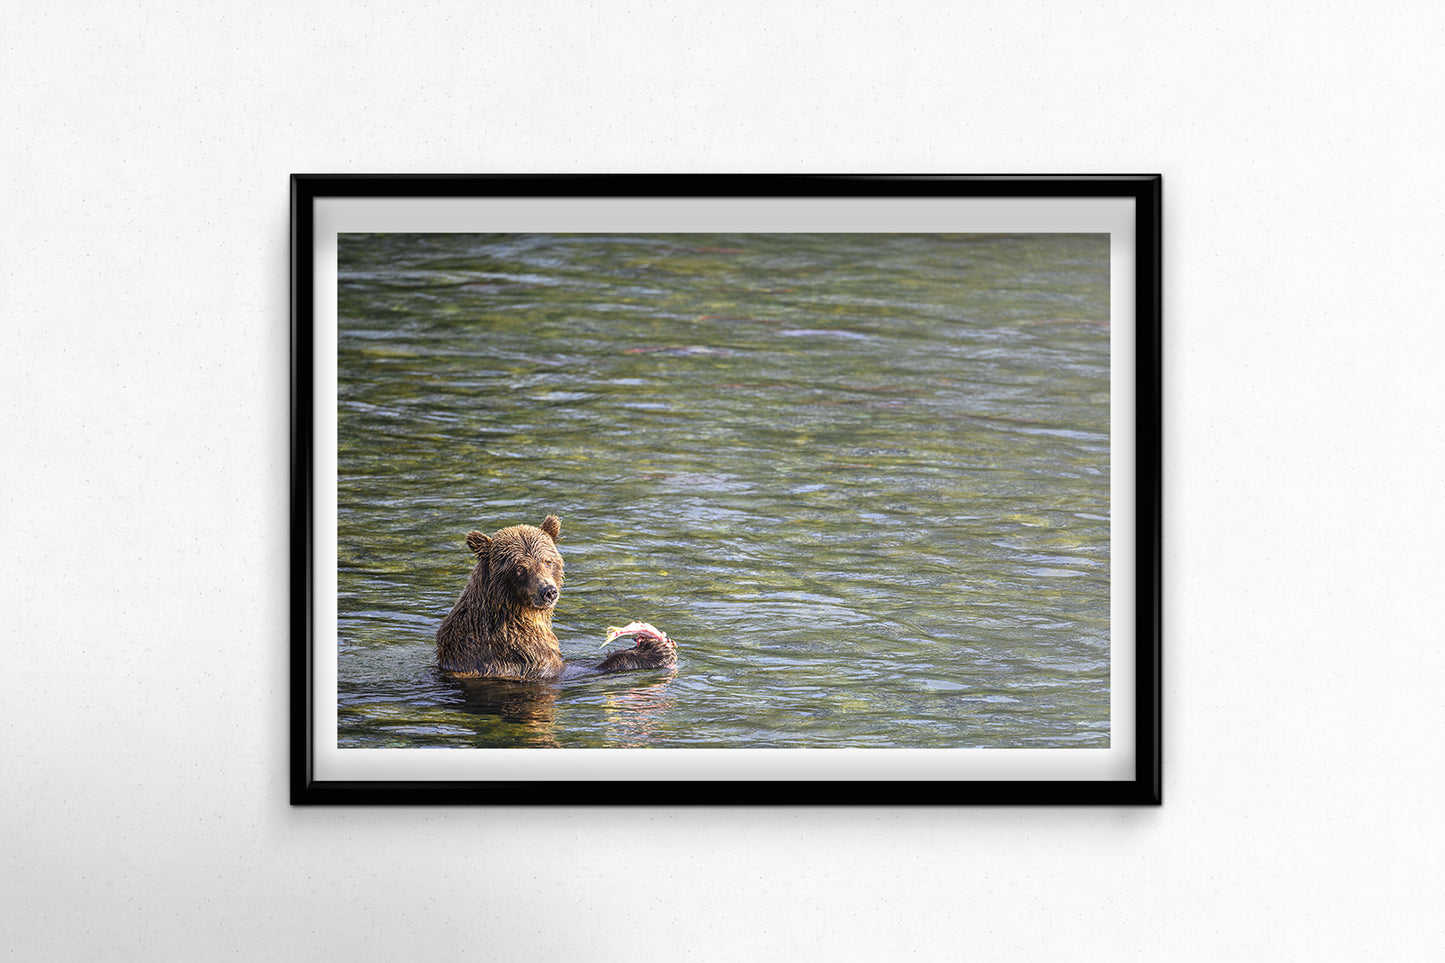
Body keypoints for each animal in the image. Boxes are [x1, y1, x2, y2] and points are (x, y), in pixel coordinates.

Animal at [435, 514, 677, 680]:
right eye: (520, 568)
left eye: (547, 561)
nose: (548, 591)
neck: (517, 611)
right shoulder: (515, 649)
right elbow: (569, 669)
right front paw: (654, 651)